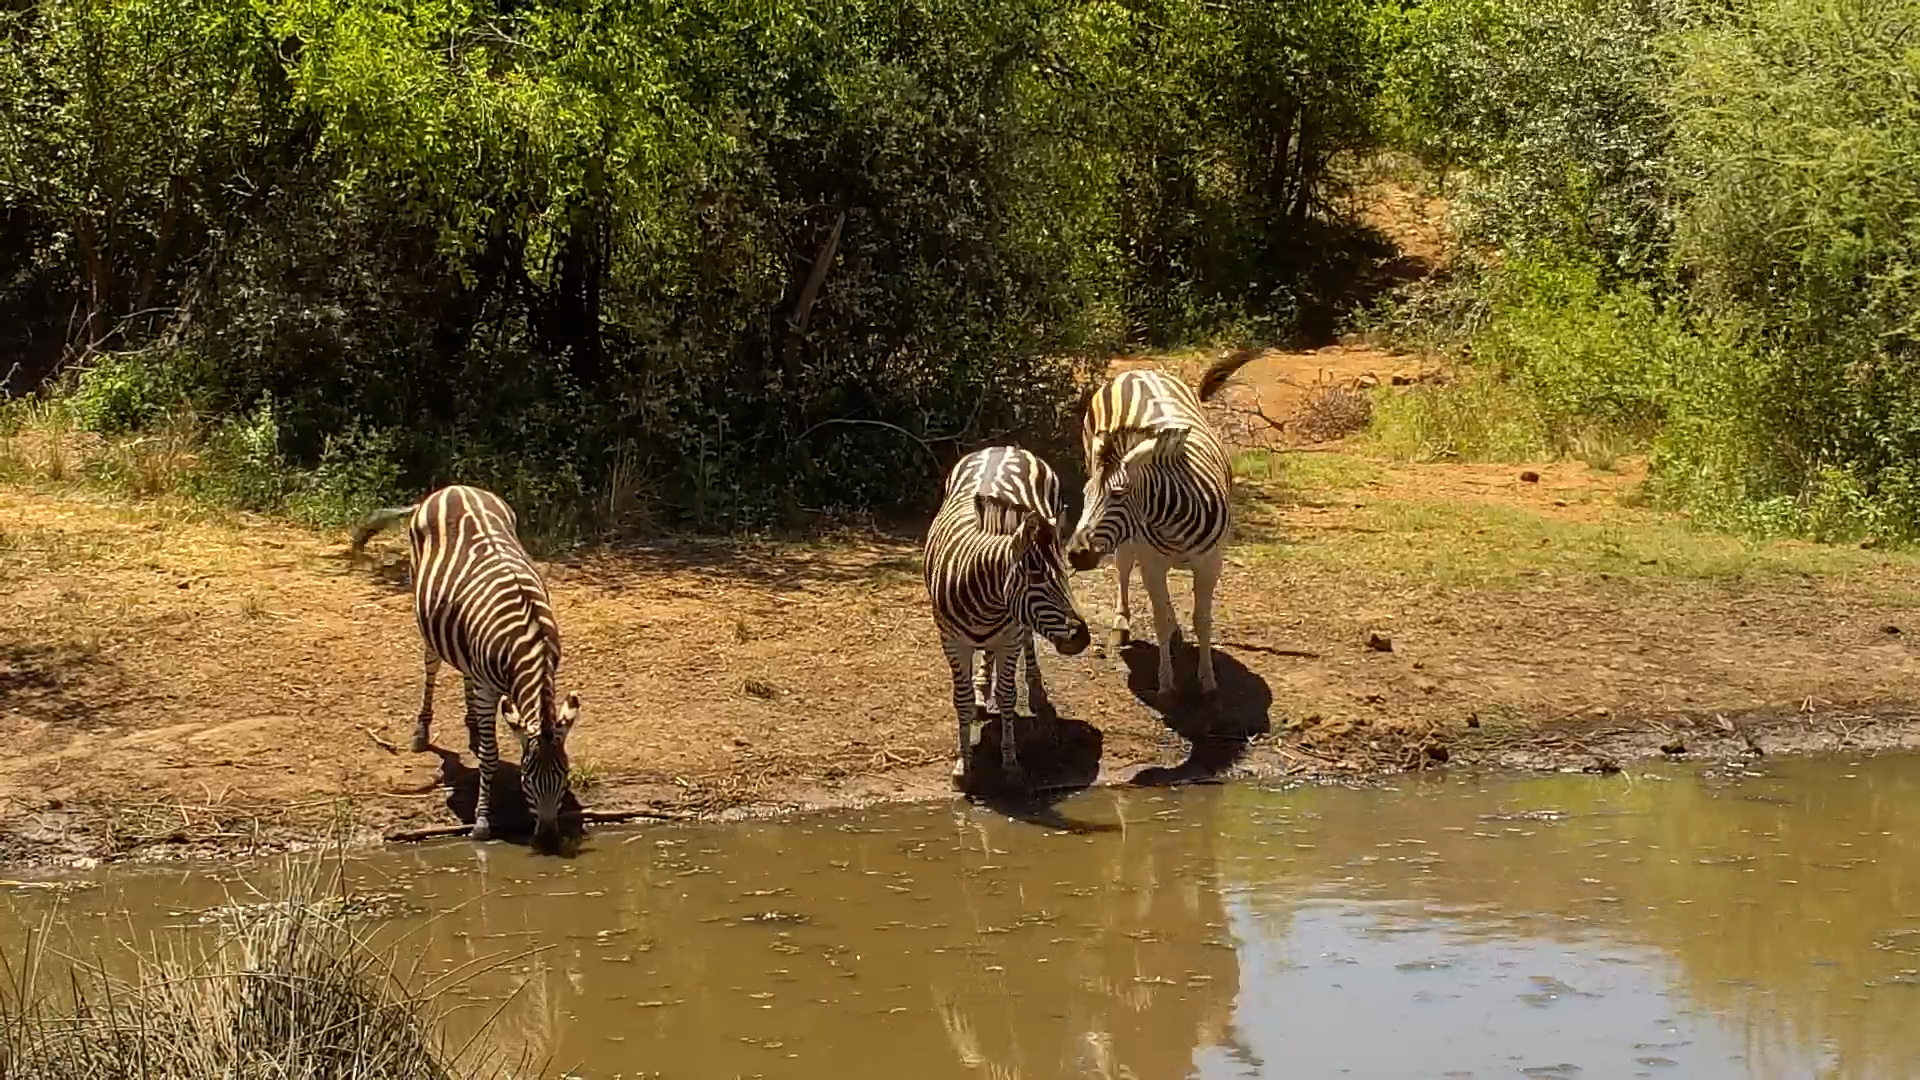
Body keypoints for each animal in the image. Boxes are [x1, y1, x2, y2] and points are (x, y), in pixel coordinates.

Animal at [350, 484, 581, 849]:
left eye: (565, 776)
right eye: (527, 780)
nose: (547, 841)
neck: (532, 642)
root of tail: (452, 487)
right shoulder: (488, 688)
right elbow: (489, 755)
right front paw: (482, 822)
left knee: (464, 670)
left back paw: (471, 723)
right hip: (422, 605)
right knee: (431, 664)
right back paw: (422, 732)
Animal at [924, 446, 1091, 784]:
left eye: (1065, 576)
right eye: (1037, 578)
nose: (1082, 637)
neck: (985, 602)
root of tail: (1005, 447)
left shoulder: (1009, 638)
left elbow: (1007, 695)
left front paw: (1010, 761)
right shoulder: (951, 642)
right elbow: (961, 700)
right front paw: (963, 765)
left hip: (1016, 627)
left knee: (1026, 641)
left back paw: (1035, 689)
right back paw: (981, 688)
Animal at [1065, 352, 1257, 700]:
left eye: (1118, 494)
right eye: (1085, 495)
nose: (1074, 554)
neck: (1173, 521)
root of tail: (1139, 371)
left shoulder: (1210, 564)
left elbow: (1203, 620)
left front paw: (1207, 680)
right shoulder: (1152, 562)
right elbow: (1158, 622)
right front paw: (1166, 682)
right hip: (1128, 541)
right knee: (1124, 569)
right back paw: (1121, 624)